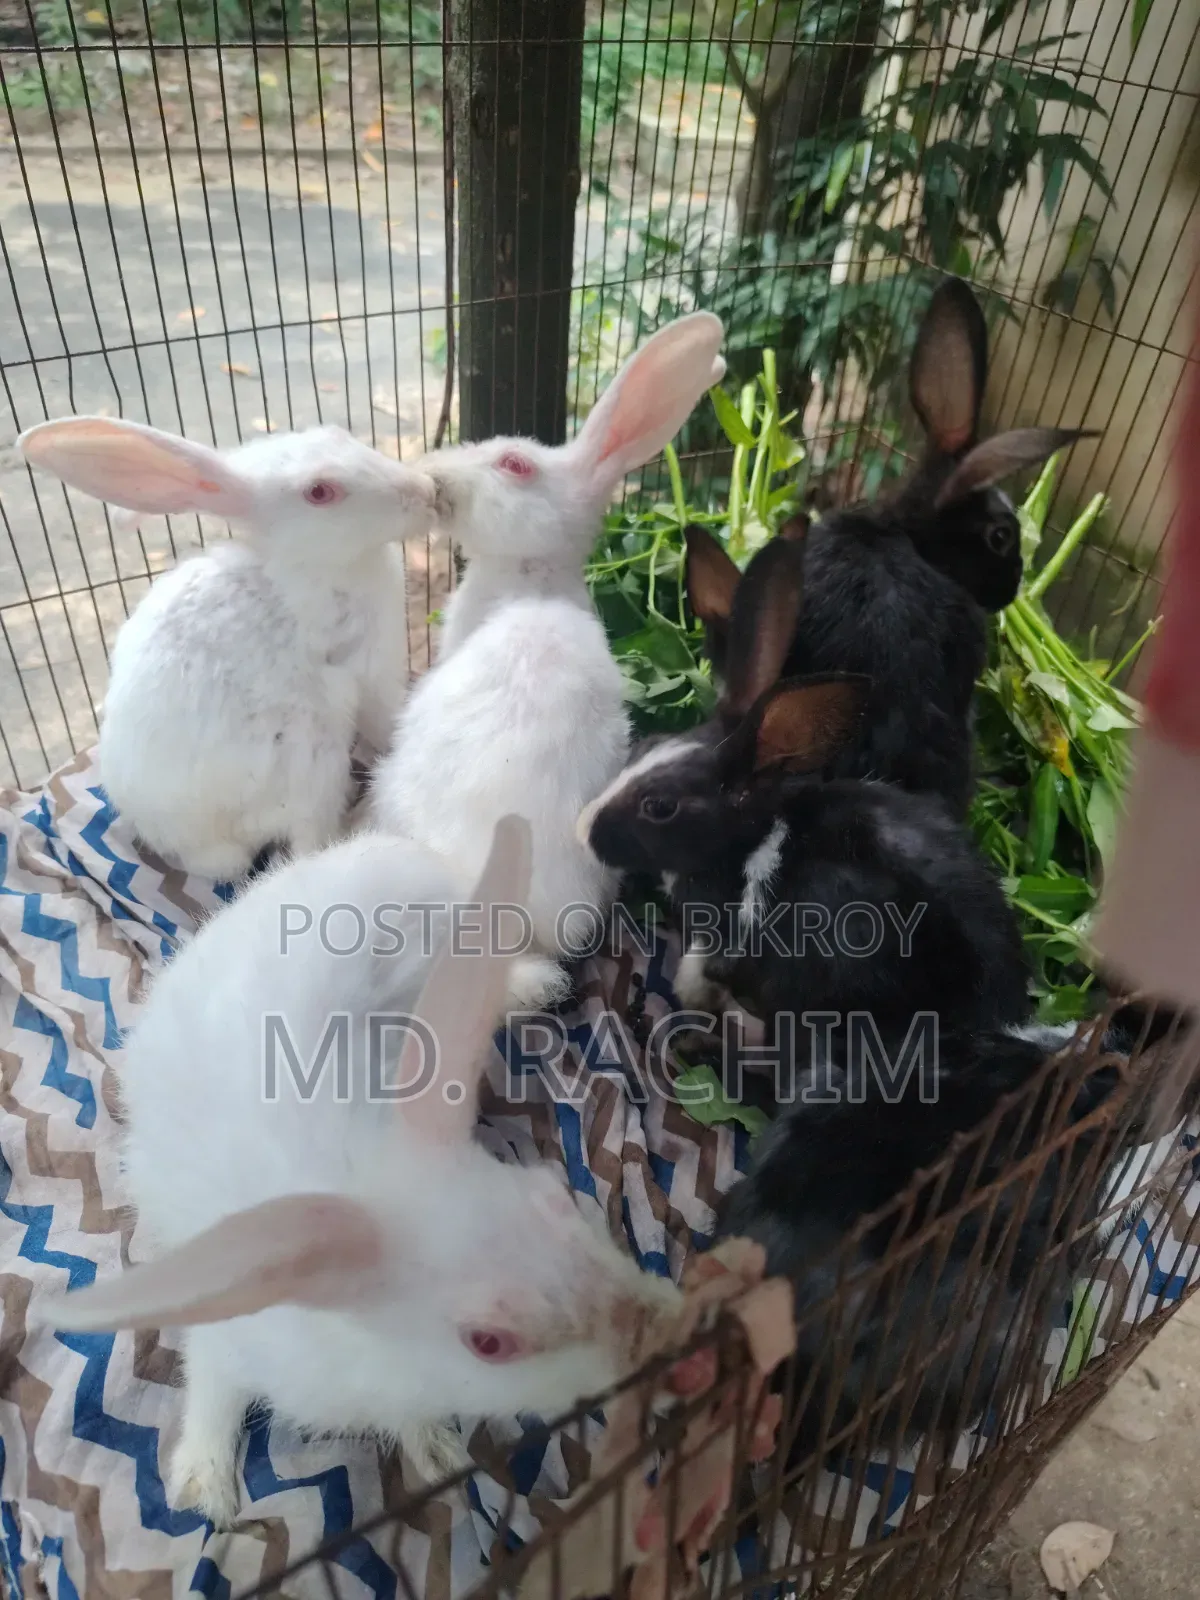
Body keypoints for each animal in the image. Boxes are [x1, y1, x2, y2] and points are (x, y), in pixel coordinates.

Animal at [18, 417, 435, 880]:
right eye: (320, 492)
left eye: (337, 433)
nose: (427, 491)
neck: (313, 567)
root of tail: (204, 846)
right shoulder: (371, 669)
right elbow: (387, 720)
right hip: (312, 757)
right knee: (308, 840)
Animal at [49, 815, 682, 1527]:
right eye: (488, 1342)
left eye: (560, 1194)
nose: (670, 1337)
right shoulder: (229, 1330)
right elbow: (213, 1392)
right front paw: (205, 1490)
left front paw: (433, 1451)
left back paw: (539, 985)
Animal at [578, 533, 1032, 1055]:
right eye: (645, 746)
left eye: (660, 806)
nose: (582, 829)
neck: (749, 839)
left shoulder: (724, 933)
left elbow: (702, 969)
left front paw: (690, 1002)